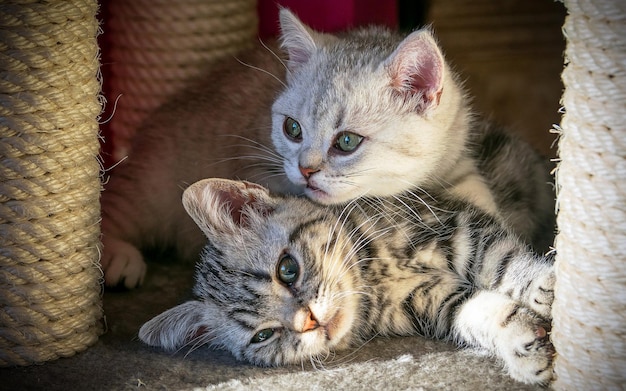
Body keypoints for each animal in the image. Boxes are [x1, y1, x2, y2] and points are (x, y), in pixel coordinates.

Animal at [101, 8, 552, 288]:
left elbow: (480, 201)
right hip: (154, 184)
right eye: (292, 129)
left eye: (347, 142)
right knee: (114, 208)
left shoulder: (457, 161)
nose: (305, 169)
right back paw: (119, 258)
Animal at [139, 179, 552, 388]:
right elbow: (473, 311)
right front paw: (521, 342)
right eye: (263, 336)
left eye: (287, 269)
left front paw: (544, 284)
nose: (308, 321)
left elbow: (501, 260)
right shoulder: (430, 302)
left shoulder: (453, 225)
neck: (374, 279)